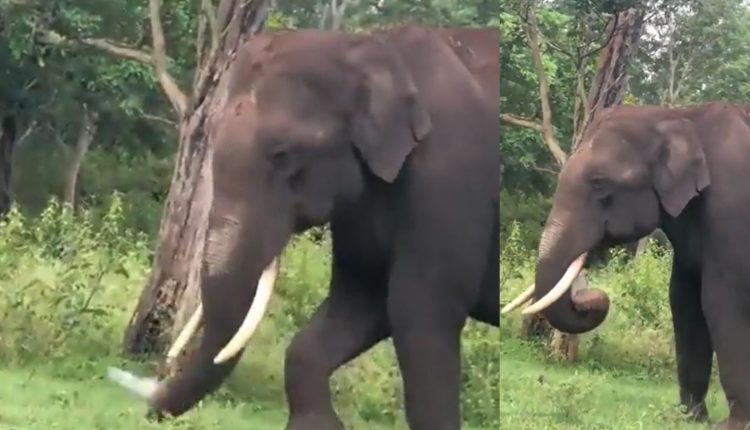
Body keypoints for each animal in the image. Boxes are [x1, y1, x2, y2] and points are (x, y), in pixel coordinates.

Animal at [108, 24, 500, 430]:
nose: (150, 399)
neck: (369, 48)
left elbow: (419, 314)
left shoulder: (450, 181)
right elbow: (360, 303)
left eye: (283, 155)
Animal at [502, 102, 750, 429]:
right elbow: (684, 303)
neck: (677, 117)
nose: (591, 296)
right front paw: (687, 418)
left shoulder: (732, 210)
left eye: (599, 183)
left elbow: (721, 303)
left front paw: (734, 425)